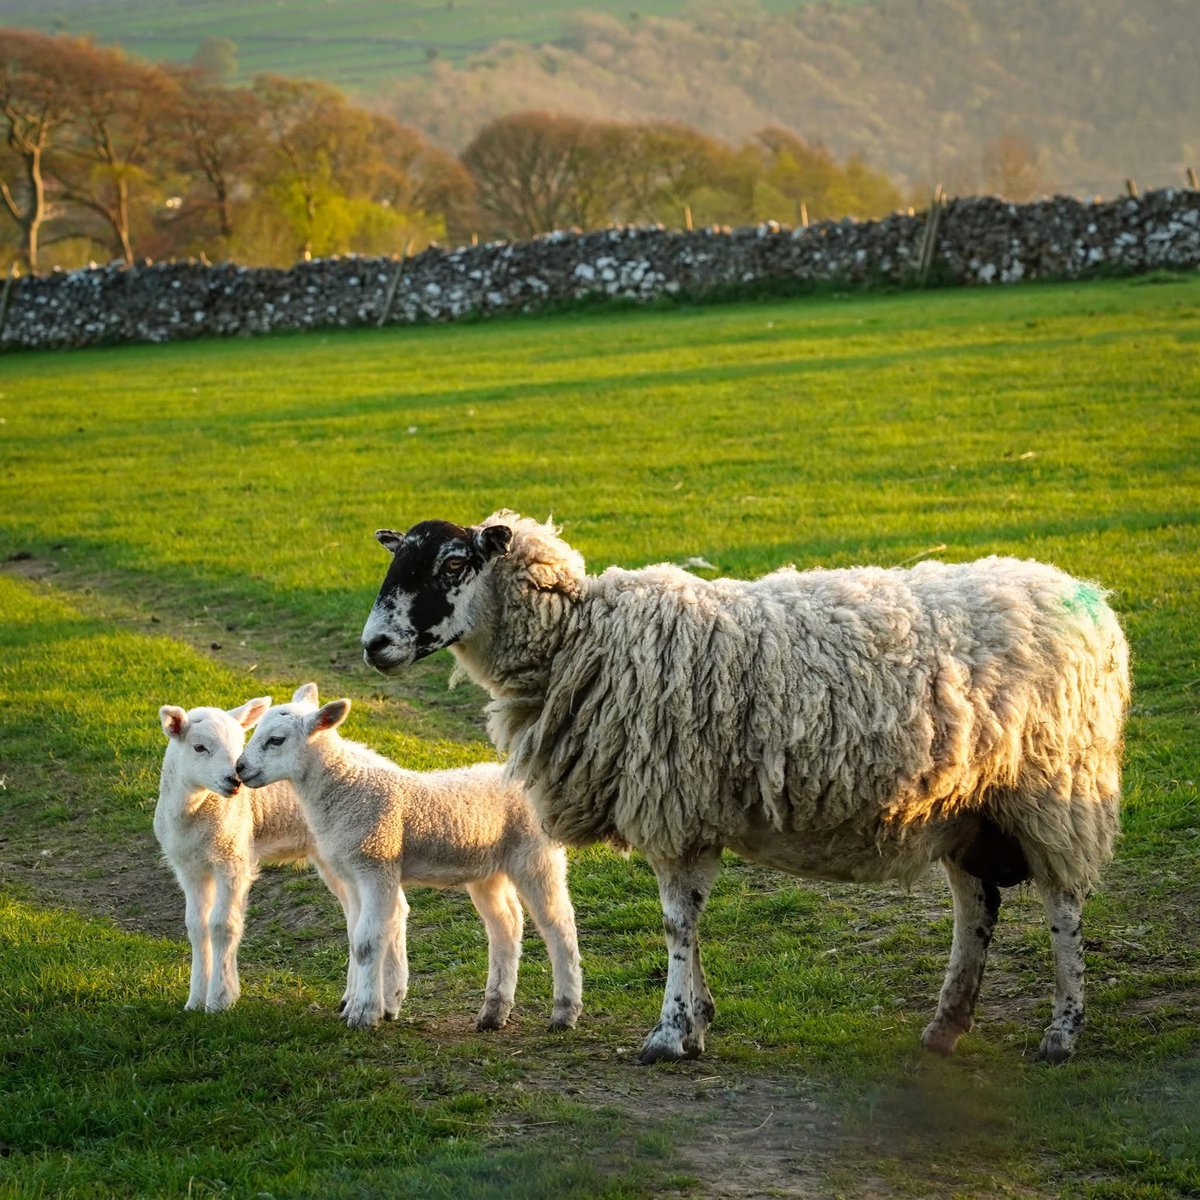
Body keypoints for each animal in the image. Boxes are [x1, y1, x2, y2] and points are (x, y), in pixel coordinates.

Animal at [155, 697, 352, 1012]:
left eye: (240, 743)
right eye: (199, 747)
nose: (234, 779)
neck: (193, 816)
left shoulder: (232, 858)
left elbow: (222, 925)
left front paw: (219, 1000)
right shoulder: (188, 868)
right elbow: (197, 927)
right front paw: (195, 1000)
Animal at [235, 683, 584, 1032]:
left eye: (276, 740)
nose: (239, 769)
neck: (346, 789)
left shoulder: (376, 863)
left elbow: (367, 942)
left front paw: (364, 1014)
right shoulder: (353, 874)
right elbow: (359, 938)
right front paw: (366, 1006)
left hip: (535, 854)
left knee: (558, 924)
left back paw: (564, 1012)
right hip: (488, 868)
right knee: (506, 924)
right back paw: (493, 1012)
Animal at [359, 513, 1129, 1064]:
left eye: (453, 564)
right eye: (395, 563)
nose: (374, 646)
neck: (580, 640)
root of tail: (1087, 600)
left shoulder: (673, 802)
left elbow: (677, 922)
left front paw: (669, 1034)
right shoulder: (688, 813)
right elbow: (687, 922)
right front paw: (698, 1020)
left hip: (1053, 787)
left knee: (1063, 907)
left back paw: (1062, 1033)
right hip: (967, 804)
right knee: (977, 907)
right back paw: (946, 1026)